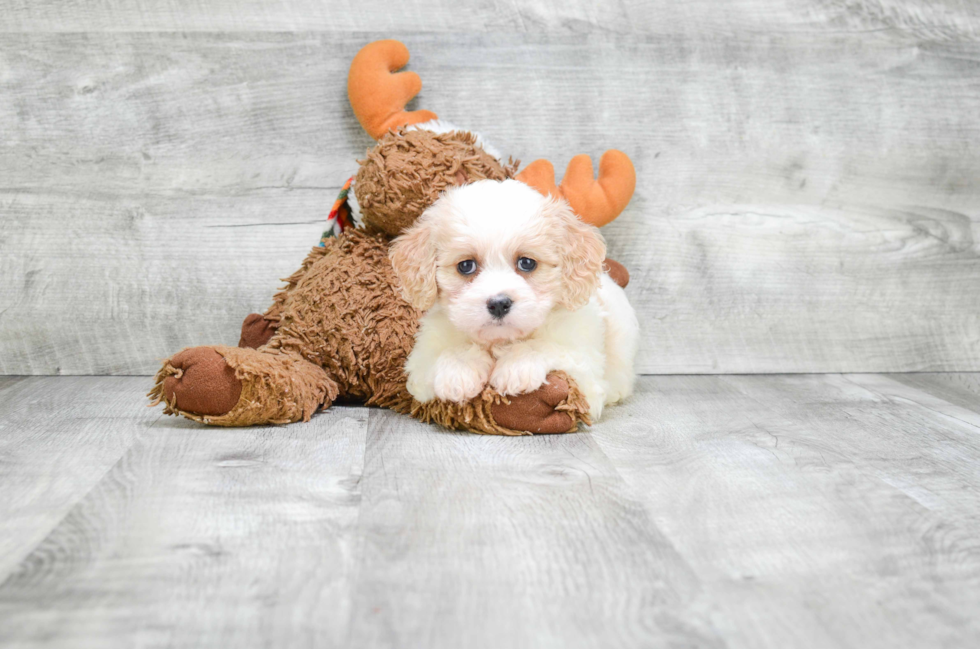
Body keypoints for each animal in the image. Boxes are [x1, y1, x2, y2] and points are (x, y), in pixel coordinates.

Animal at [390, 178, 644, 420]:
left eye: (527, 263)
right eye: (466, 266)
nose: (499, 304)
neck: (501, 340)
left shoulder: (587, 376)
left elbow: (545, 346)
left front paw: (517, 367)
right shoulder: (419, 367)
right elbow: (447, 355)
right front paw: (458, 371)